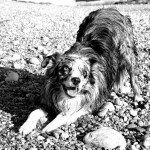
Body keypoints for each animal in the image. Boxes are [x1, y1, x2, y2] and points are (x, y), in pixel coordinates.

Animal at [18, 7, 142, 135]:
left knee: (132, 76)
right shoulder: (49, 101)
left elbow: (66, 114)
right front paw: (26, 126)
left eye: (85, 74)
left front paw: (50, 125)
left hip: (127, 52)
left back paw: (137, 96)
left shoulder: (89, 104)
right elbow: (34, 112)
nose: (76, 80)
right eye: (65, 69)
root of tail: (111, 9)